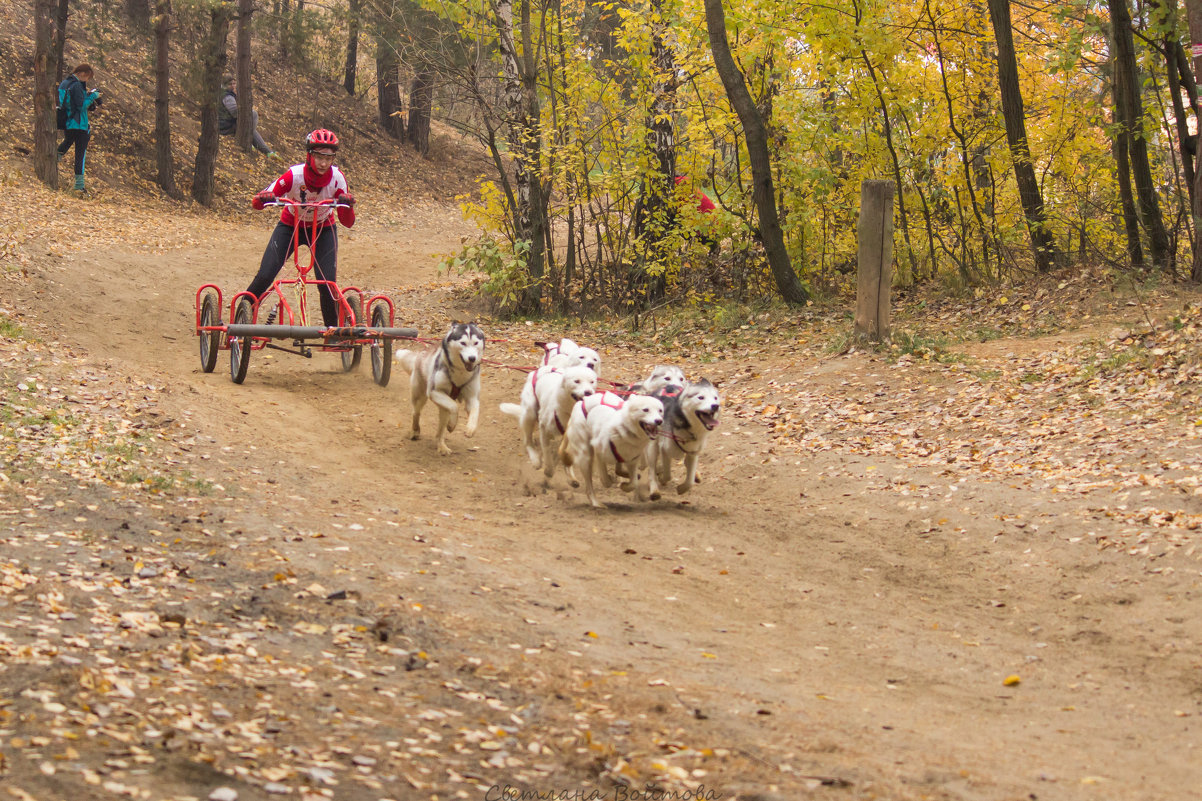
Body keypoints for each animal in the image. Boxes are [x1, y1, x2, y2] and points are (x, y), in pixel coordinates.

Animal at [396, 322, 485, 452]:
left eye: (476, 343)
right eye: (463, 343)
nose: (472, 358)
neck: (460, 373)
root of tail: (421, 353)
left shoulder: (472, 397)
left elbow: (475, 411)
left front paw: (471, 428)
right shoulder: (434, 392)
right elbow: (454, 406)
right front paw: (452, 424)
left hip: (443, 408)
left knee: (440, 431)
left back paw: (442, 446)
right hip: (421, 397)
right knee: (416, 413)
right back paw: (415, 431)